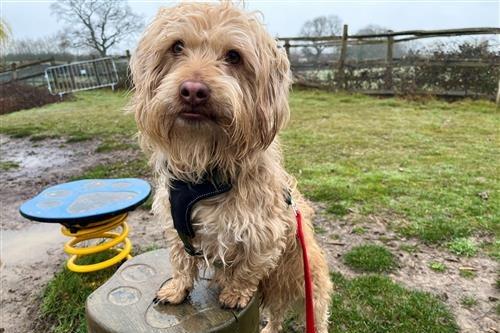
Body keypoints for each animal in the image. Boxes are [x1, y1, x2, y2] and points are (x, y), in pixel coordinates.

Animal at [129, 1, 332, 330]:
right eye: (176, 47)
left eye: (234, 56)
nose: (193, 90)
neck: (204, 167)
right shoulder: (175, 225)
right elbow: (180, 260)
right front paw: (176, 288)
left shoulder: (265, 234)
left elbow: (248, 267)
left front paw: (235, 292)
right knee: (276, 315)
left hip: (307, 286)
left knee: (313, 316)